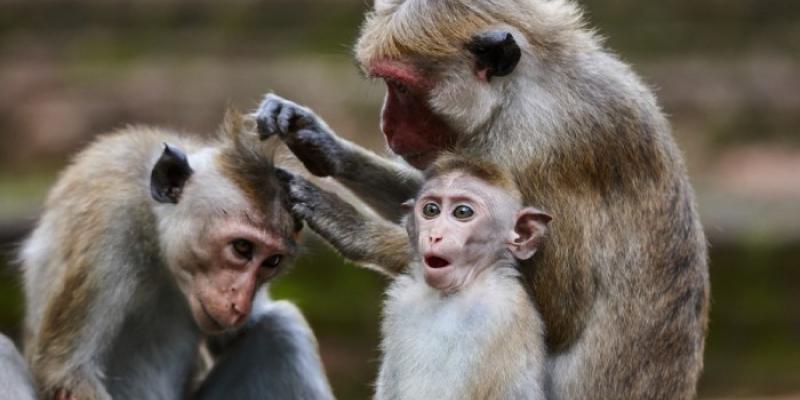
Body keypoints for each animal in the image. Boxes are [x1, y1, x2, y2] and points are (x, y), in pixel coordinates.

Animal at [18, 110, 334, 400]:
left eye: (272, 261)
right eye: (242, 248)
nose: (240, 305)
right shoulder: (110, 229)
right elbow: (67, 375)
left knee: (281, 328)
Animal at [277, 155, 551, 399]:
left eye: (463, 212)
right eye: (431, 210)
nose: (435, 235)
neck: (450, 294)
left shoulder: (494, 314)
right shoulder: (403, 303)